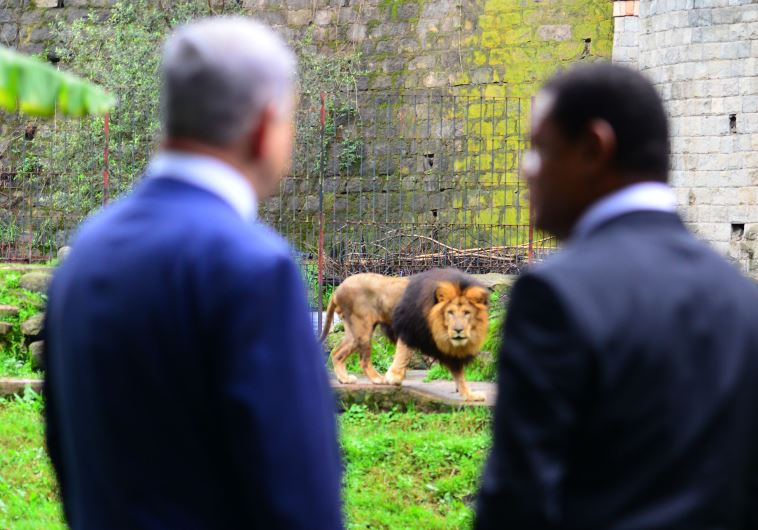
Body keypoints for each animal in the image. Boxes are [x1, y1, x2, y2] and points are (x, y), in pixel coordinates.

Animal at [320, 269, 490, 402]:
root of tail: (338, 289)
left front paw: (470, 395)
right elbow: (404, 355)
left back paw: (344, 379)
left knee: (336, 353)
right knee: (363, 361)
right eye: (450, 312)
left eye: (467, 313)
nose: (458, 330)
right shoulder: (409, 331)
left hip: (353, 333)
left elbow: (459, 375)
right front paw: (394, 378)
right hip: (363, 329)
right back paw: (378, 379)